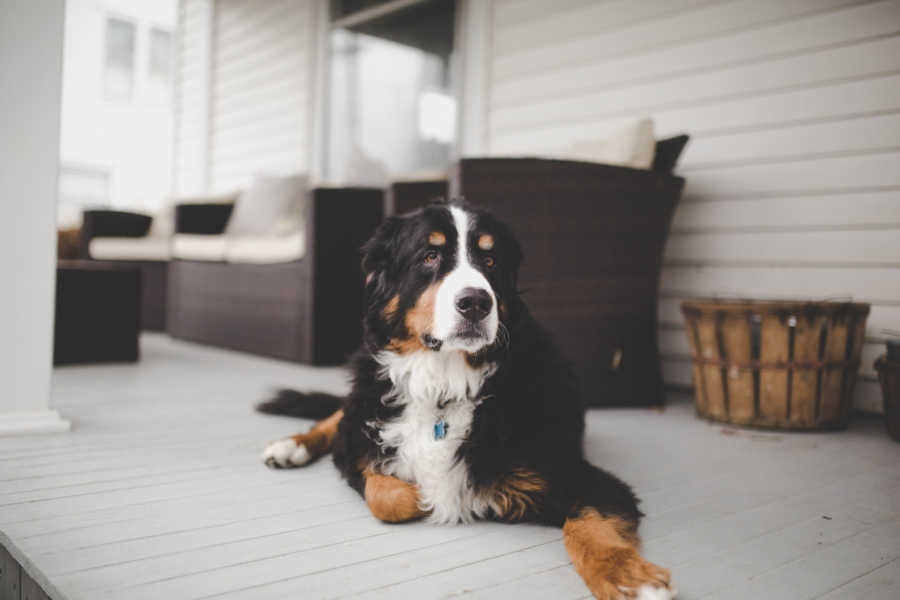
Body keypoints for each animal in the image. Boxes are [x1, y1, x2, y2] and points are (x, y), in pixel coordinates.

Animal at [256, 199, 672, 596]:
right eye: (429, 255)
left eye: (490, 260)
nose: (476, 302)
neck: (445, 381)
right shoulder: (357, 447)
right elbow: (386, 494)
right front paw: (424, 497)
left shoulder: (580, 475)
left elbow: (589, 526)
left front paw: (628, 579)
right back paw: (291, 446)